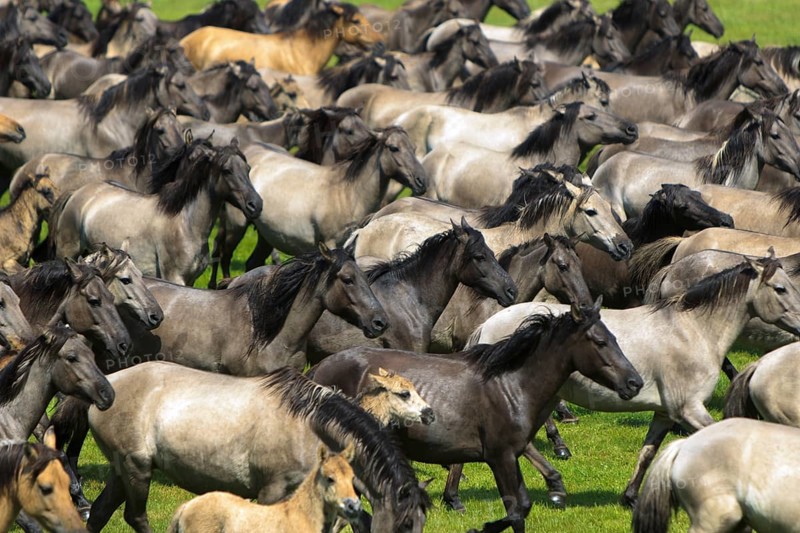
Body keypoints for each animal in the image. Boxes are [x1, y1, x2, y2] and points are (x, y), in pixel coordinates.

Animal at [52, 137, 262, 286]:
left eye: (248, 168)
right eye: (226, 170)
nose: (256, 205)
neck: (185, 224)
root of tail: (76, 193)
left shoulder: (191, 280)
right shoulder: (175, 277)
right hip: (68, 253)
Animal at [309, 299, 643, 533]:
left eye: (614, 338)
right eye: (599, 342)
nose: (634, 382)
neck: (511, 385)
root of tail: (317, 371)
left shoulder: (511, 455)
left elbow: (523, 505)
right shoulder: (499, 457)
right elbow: (515, 511)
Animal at [465, 253, 800, 507]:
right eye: (780, 289)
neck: (692, 330)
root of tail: (486, 326)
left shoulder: (665, 413)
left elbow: (647, 452)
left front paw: (630, 497)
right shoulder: (689, 409)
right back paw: (555, 482)